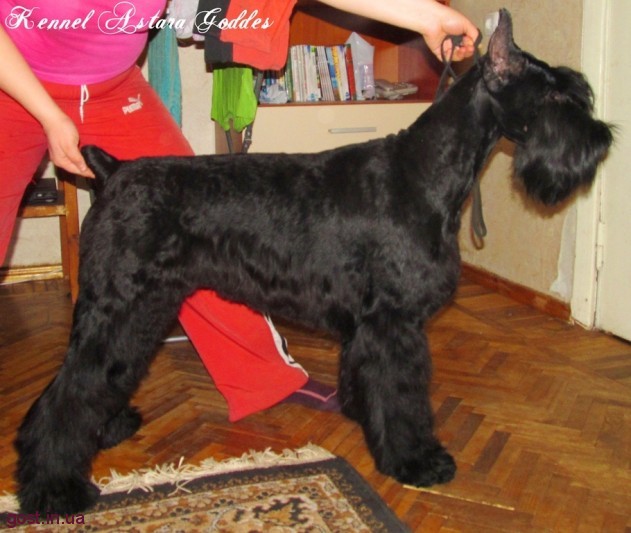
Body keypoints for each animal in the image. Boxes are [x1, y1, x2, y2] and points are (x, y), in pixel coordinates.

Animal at [16, 10, 613, 513]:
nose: (602, 139)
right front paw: (416, 460)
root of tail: (114, 170)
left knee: (96, 379)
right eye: (557, 97)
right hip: (120, 305)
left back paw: (107, 427)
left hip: (140, 312)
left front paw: (360, 410)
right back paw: (53, 485)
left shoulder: (369, 326)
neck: (423, 172)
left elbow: (365, 377)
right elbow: (404, 397)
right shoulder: (395, 324)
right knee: (69, 391)